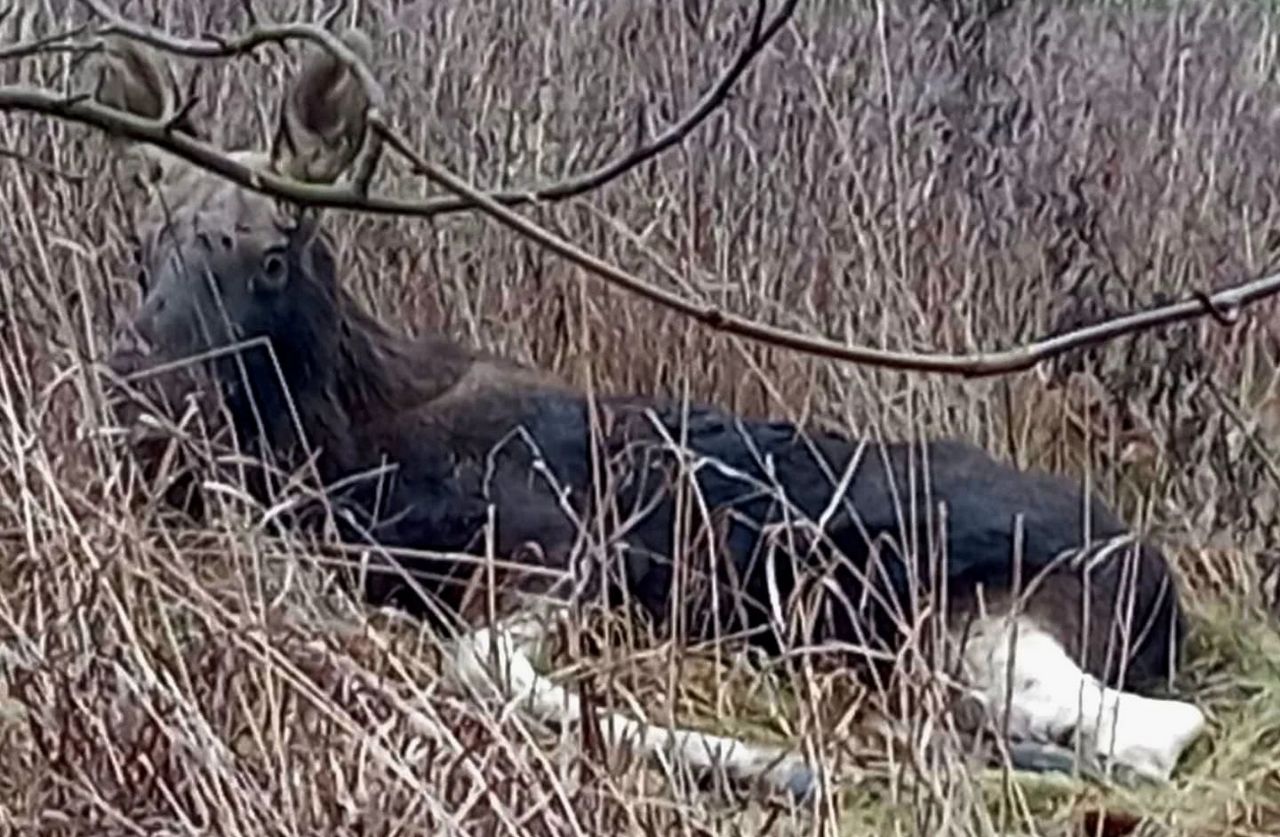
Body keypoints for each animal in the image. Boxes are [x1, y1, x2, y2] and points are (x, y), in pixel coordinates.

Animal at [94, 29, 1203, 798]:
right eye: (144, 247)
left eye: (272, 258)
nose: (141, 393)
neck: (343, 444)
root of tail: (1164, 581)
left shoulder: (565, 546)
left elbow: (482, 666)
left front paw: (769, 762)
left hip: (992, 613)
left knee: (1153, 726)